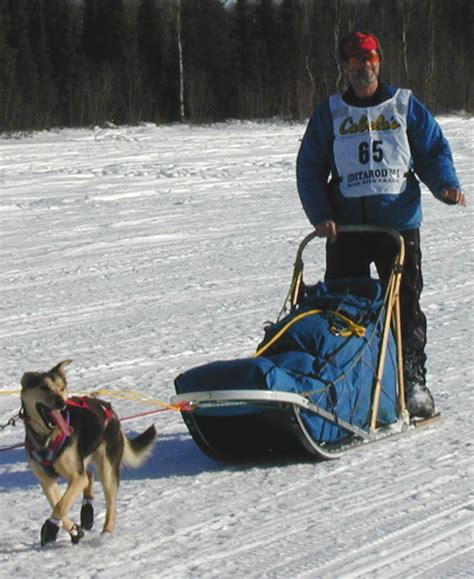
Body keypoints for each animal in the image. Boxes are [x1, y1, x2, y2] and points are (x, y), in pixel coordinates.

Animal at [19, 360, 156, 548]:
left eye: (61, 388)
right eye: (44, 387)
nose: (61, 402)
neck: (47, 437)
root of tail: (110, 410)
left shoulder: (76, 477)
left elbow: (60, 506)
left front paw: (51, 527)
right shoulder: (47, 482)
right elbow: (58, 505)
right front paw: (74, 530)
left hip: (107, 471)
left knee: (111, 505)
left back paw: (106, 533)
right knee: (89, 475)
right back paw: (87, 511)